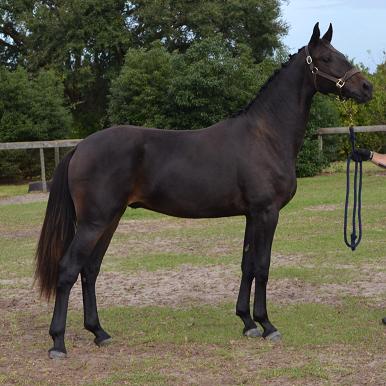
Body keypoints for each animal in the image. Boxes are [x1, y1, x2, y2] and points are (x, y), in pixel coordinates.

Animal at [35, 22, 370, 358]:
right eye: (326, 58)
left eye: (339, 53)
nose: (367, 88)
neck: (266, 135)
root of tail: (80, 147)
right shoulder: (267, 212)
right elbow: (263, 266)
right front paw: (267, 325)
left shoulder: (251, 215)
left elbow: (247, 265)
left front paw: (247, 322)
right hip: (94, 222)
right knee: (68, 269)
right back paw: (58, 343)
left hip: (110, 219)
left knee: (90, 270)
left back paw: (99, 332)